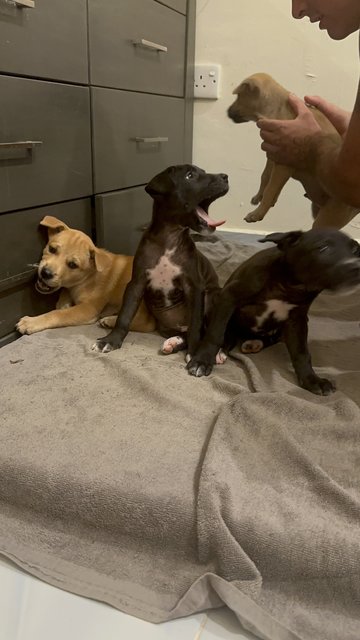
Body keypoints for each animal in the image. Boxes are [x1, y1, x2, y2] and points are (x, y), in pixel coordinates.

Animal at [16, 215, 155, 336]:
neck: (88, 277)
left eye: (73, 265)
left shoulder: (88, 308)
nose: (46, 273)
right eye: (52, 249)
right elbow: (63, 299)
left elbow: (58, 314)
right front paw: (64, 302)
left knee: (147, 323)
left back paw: (110, 321)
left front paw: (31, 322)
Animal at [92, 164, 228, 356]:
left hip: (212, 295)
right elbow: (124, 315)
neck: (169, 238)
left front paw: (194, 354)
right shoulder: (137, 283)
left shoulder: (195, 287)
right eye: (190, 175)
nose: (225, 177)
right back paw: (173, 342)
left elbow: (196, 325)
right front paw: (110, 340)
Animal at [187, 228, 360, 392]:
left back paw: (255, 343)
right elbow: (215, 334)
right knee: (228, 333)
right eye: (323, 248)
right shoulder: (228, 297)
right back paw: (221, 351)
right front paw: (201, 361)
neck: (290, 287)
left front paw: (311, 380)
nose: (355, 267)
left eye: (355, 250)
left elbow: (302, 352)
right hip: (216, 298)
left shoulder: (297, 320)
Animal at [229, 73, 358, 230]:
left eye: (238, 96)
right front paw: (260, 197)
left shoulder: (283, 165)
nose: (227, 112)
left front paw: (257, 213)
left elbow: (271, 189)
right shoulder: (273, 156)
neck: (277, 109)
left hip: (330, 216)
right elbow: (266, 177)